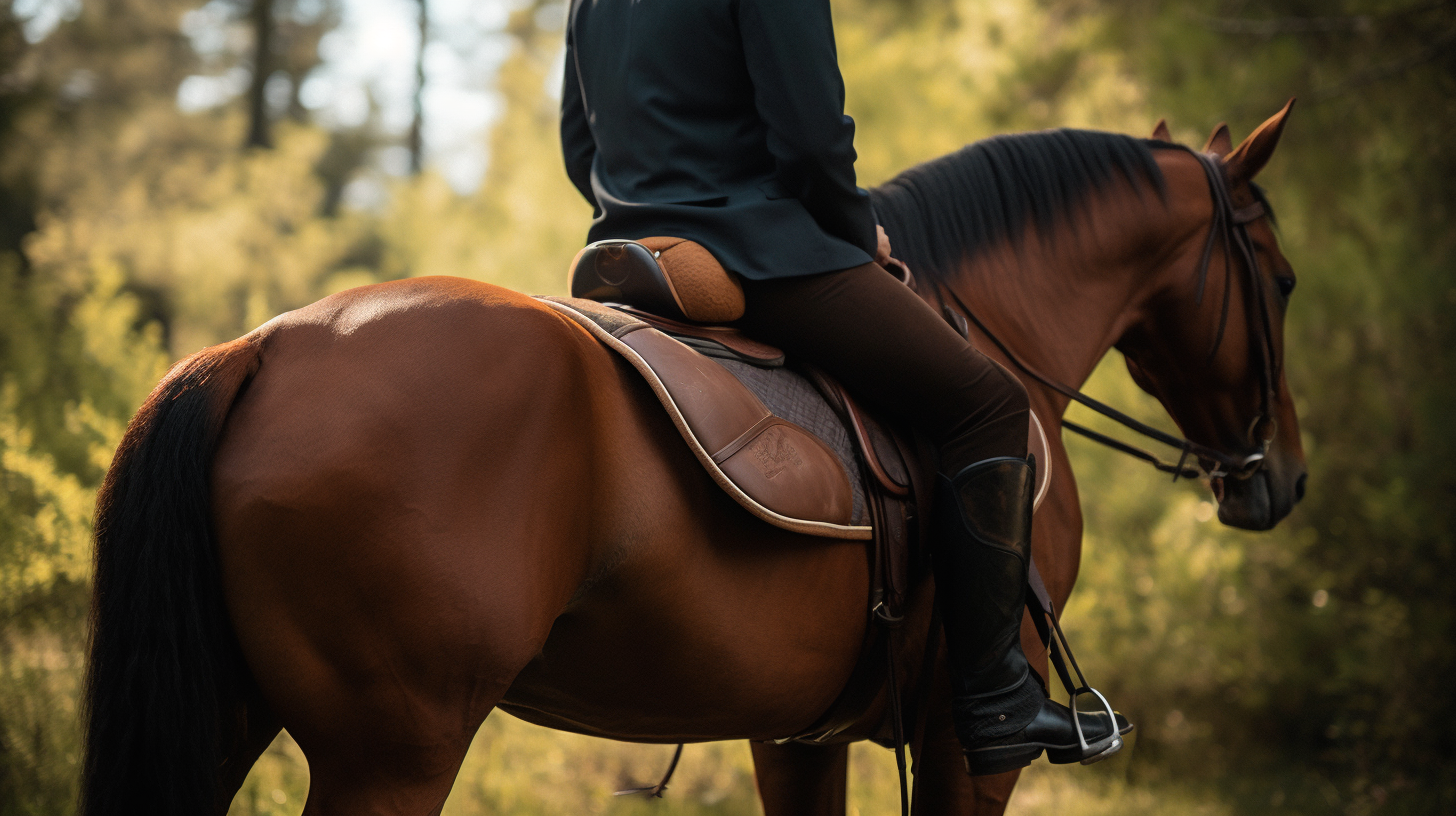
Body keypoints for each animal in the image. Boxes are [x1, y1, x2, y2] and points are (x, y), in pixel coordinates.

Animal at [79, 103, 1310, 816]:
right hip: (391, 751)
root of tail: (265, 346)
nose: (1282, 477)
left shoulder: (796, 733)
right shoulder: (972, 749)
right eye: (1285, 279)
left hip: (236, 718)